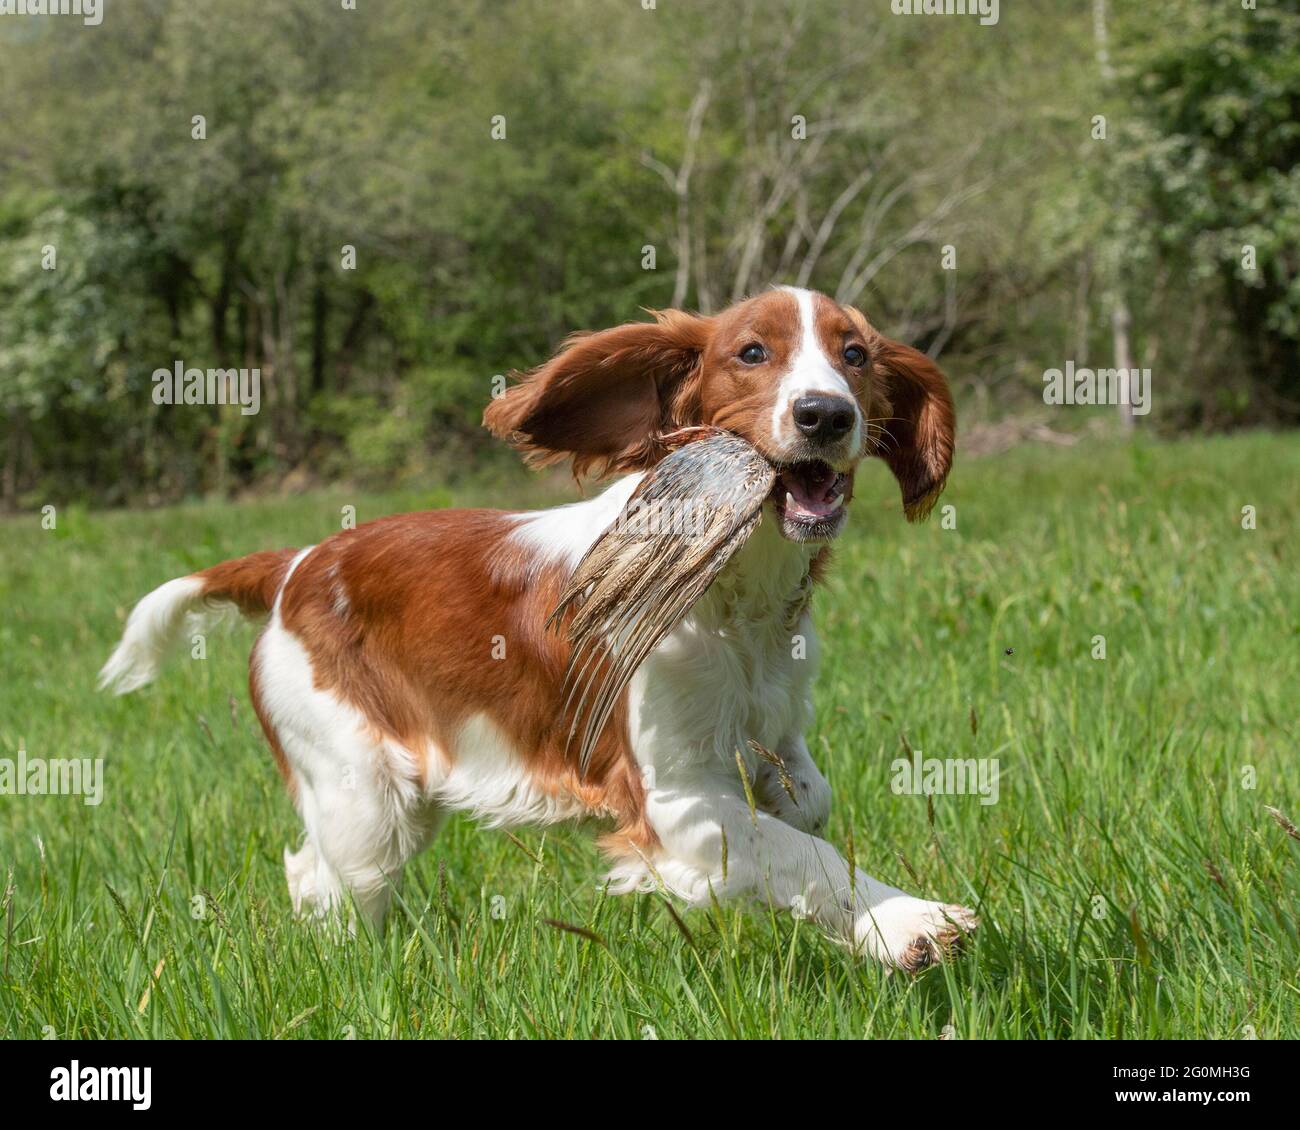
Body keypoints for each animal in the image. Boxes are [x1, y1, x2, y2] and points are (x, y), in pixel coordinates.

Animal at [98, 284, 977, 967]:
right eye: (752, 352)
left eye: (856, 354)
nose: (825, 414)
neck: (737, 593)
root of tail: (294, 565)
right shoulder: (677, 801)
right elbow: (806, 854)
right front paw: (910, 922)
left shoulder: (774, 723)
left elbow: (808, 802)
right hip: (363, 793)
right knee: (334, 880)